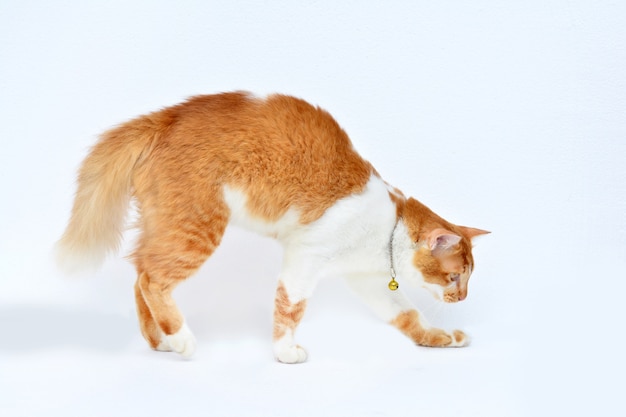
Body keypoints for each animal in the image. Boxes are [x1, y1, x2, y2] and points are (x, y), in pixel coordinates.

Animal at [56, 91, 488, 360]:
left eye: (467, 279)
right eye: (454, 278)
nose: (462, 298)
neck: (387, 229)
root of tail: (166, 117)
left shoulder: (369, 282)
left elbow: (408, 316)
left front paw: (441, 339)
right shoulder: (305, 258)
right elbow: (291, 308)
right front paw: (285, 353)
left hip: (167, 226)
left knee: (139, 274)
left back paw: (159, 340)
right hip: (196, 229)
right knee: (151, 280)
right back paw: (180, 339)